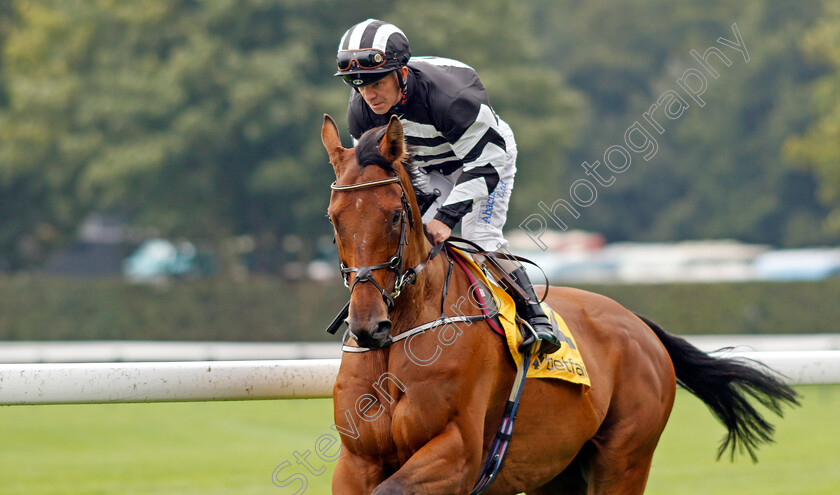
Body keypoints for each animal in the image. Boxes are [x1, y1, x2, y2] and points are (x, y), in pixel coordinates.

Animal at [322, 114, 800, 494]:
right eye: (334, 218)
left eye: (394, 215)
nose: (368, 326)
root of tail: (640, 326)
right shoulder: (357, 461)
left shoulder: (457, 452)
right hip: (555, 471)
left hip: (623, 462)